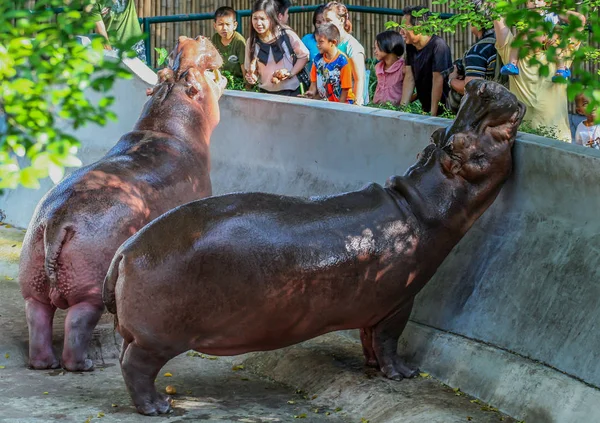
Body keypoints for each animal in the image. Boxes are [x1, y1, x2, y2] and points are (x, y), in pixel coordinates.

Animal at [17, 37, 227, 374]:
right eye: (190, 76)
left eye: (168, 71)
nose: (188, 40)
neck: (166, 124)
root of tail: (56, 221)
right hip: (89, 291)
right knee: (77, 325)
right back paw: (85, 364)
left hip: (33, 282)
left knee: (37, 319)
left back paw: (44, 363)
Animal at [103, 80, 524, 418]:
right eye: (464, 145)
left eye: (440, 134)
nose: (481, 85)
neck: (421, 203)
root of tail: (126, 251)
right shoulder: (399, 303)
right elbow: (389, 341)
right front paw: (403, 374)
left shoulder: (373, 306)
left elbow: (369, 340)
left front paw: (372, 367)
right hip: (157, 340)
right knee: (135, 366)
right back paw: (158, 407)